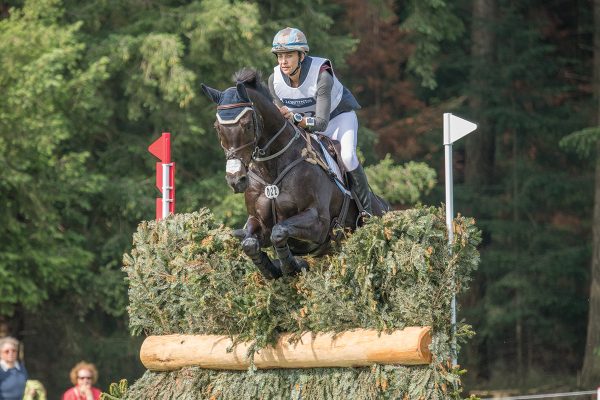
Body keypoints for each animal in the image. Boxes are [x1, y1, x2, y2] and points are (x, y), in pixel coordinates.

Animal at [202, 69, 390, 282]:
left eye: (247, 125)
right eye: (217, 127)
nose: (236, 180)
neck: (271, 170)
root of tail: (383, 205)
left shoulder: (319, 223)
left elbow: (279, 231)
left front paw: (290, 267)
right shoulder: (258, 221)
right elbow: (249, 243)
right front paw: (272, 269)